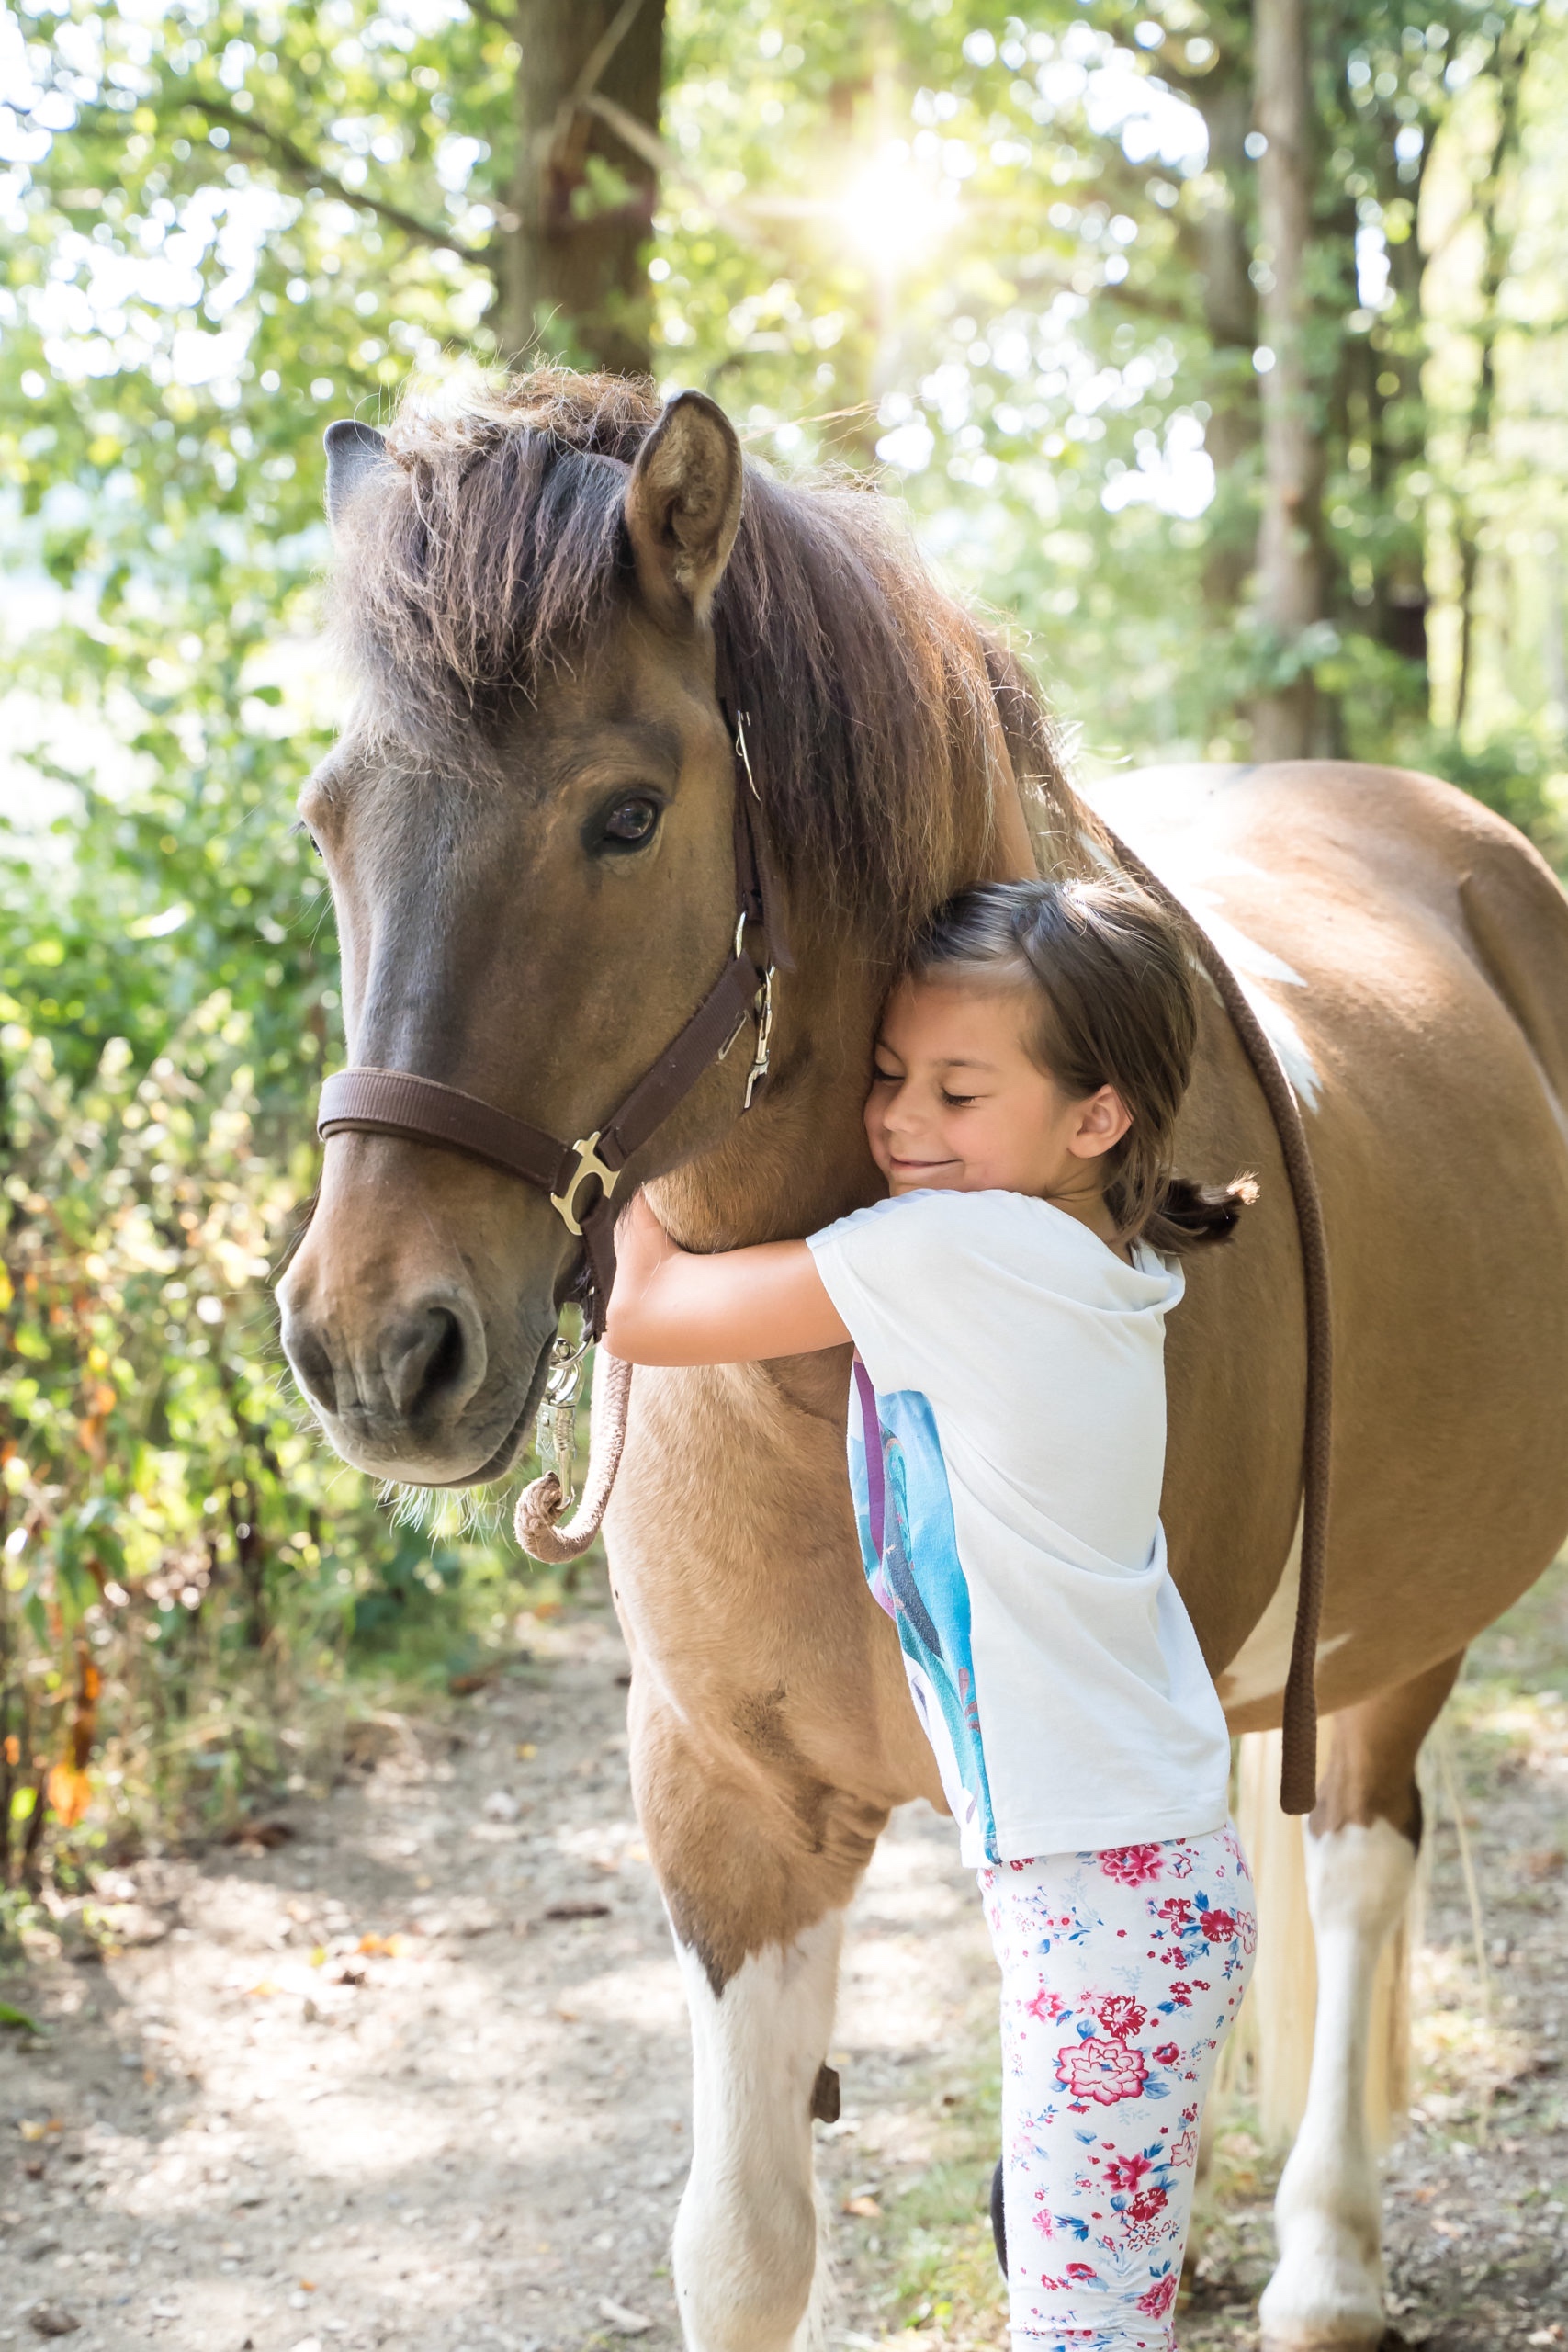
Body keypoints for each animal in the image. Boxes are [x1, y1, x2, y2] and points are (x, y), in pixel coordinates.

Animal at [276, 368, 1568, 2352]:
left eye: (626, 817)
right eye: (330, 821)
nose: (376, 1345)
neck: (816, 1358)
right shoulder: (730, 1818)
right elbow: (740, 2247)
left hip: (1401, 1629)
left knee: (1357, 1860)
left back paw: (1327, 2255)